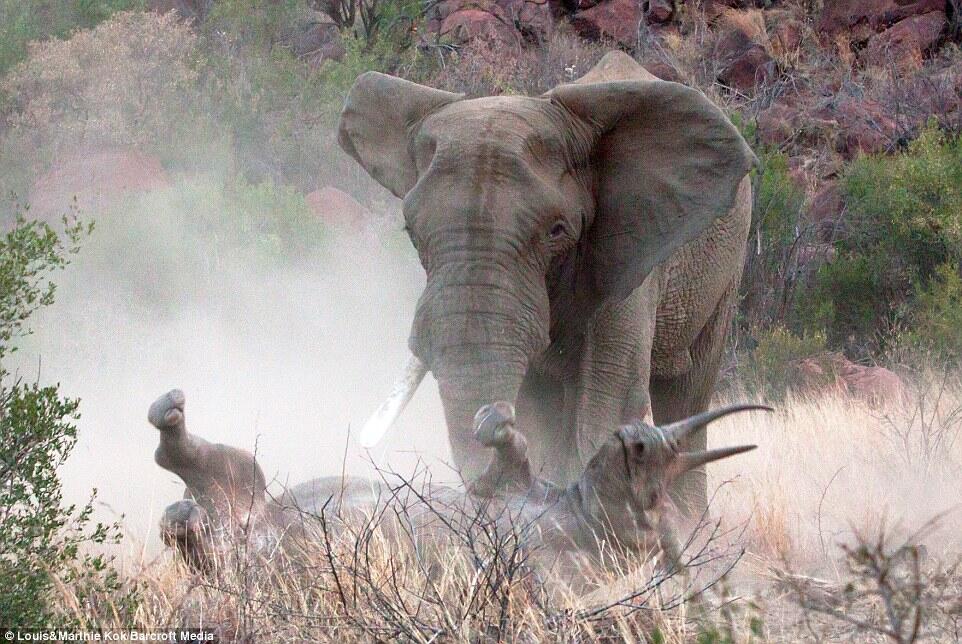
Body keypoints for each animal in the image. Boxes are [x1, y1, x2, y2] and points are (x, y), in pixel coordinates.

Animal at [150, 388, 764, 588]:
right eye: (637, 448)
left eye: (656, 491)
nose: (640, 439)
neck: (584, 513)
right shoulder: (520, 488)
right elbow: (507, 457)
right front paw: (496, 424)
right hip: (259, 504)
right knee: (224, 480)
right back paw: (169, 425)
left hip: (245, 550)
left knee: (205, 532)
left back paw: (185, 506)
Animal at [338, 50, 756, 516]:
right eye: (410, 232)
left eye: (556, 230)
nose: (493, 419)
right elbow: (540, 409)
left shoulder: (630, 253)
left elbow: (607, 400)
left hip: (727, 264)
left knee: (687, 390)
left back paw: (688, 520)